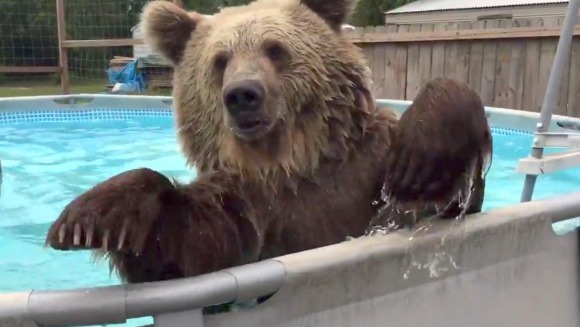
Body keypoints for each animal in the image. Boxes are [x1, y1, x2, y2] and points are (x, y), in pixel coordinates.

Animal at [45, 0, 492, 288]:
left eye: (275, 49)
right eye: (220, 60)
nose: (243, 95)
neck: (293, 161)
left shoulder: (365, 170)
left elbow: (441, 202)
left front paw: (422, 158)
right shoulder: (253, 203)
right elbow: (189, 248)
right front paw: (94, 217)